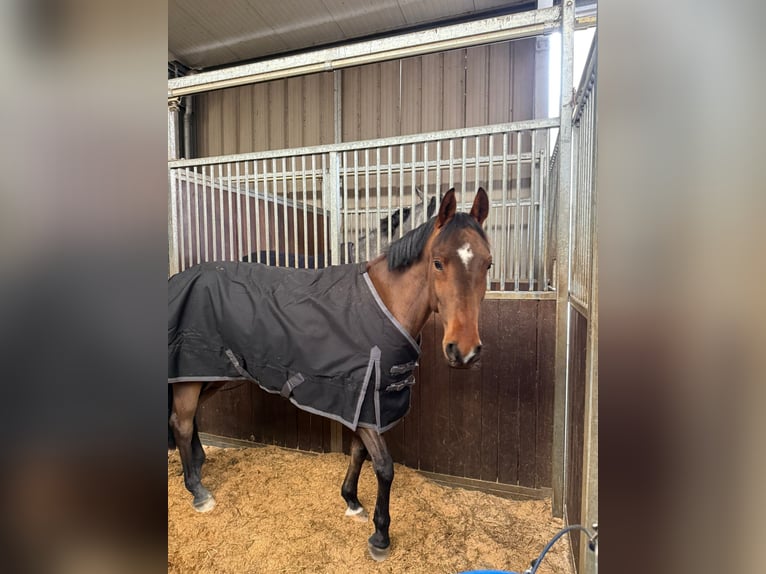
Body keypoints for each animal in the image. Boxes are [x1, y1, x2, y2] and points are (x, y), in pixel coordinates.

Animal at [168, 187, 491, 561]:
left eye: (487, 263)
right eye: (438, 262)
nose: (463, 350)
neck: (384, 301)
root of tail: (178, 278)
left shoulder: (364, 399)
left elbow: (359, 453)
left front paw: (352, 501)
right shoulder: (363, 400)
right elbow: (384, 466)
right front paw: (380, 536)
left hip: (213, 373)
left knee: (189, 417)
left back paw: (198, 465)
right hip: (194, 370)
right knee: (181, 422)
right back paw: (198, 491)